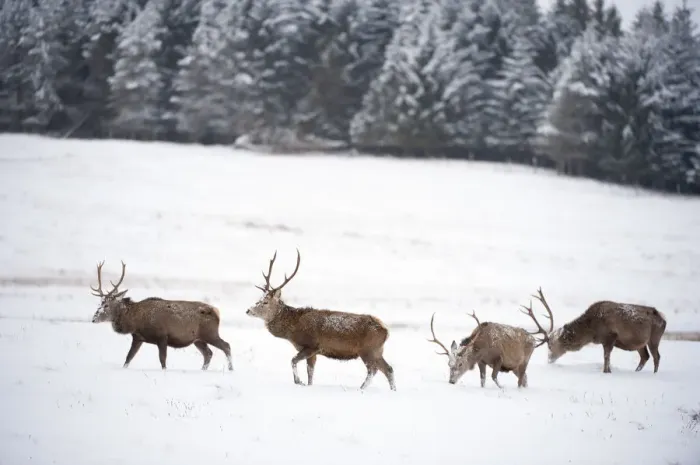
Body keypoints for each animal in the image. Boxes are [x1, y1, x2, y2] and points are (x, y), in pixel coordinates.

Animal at [90, 260, 233, 371]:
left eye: (106, 305)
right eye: (100, 303)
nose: (94, 319)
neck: (136, 321)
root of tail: (217, 311)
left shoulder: (162, 336)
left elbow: (162, 360)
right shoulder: (138, 337)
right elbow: (128, 358)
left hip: (210, 333)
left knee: (226, 345)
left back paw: (231, 369)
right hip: (198, 339)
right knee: (208, 353)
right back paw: (203, 370)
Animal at [245, 249, 396, 391]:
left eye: (265, 302)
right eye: (259, 299)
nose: (248, 310)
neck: (293, 329)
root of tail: (386, 331)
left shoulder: (312, 345)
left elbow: (293, 361)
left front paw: (298, 382)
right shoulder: (313, 352)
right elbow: (310, 373)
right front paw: (308, 385)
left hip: (368, 350)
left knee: (373, 370)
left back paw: (360, 389)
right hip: (377, 351)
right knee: (388, 369)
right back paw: (392, 390)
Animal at [523, 287, 667, 373]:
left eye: (550, 345)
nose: (549, 360)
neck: (591, 331)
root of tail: (664, 320)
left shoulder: (610, 335)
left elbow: (606, 356)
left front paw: (606, 371)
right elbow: (607, 357)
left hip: (655, 337)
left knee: (656, 356)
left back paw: (654, 374)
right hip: (640, 343)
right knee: (645, 356)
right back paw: (637, 371)